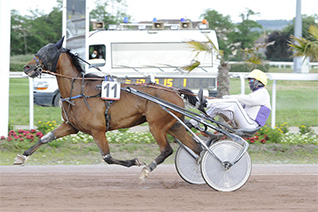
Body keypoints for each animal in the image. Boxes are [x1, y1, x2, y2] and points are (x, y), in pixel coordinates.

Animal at [14, 37, 201, 180]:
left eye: (48, 52)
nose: (27, 67)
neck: (79, 91)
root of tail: (174, 91)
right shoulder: (71, 126)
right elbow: (45, 138)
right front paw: (21, 157)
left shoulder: (98, 130)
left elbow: (108, 158)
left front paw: (135, 161)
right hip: (175, 126)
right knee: (197, 149)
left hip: (157, 126)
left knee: (167, 150)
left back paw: (147, 169)